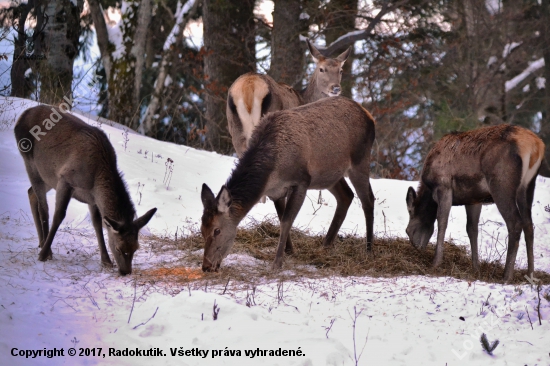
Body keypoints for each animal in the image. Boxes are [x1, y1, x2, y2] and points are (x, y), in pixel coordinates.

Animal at [12, 105, 158, 274]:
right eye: (119, 248)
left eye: (136, 248)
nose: (126, 271)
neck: (96, 178)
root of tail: (22, 116)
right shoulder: (65, 179)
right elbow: (59, 216)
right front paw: (43, 255)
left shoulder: (92, 198)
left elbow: (97, 224)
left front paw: (106, 261)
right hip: (31, 163)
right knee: (44, 207)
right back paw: (46, 249)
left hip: (48, 176)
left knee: (31, 193)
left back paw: (41, 242)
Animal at [201, 97, 378, 272]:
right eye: (202, 229)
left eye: (217, 230)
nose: (206, 266)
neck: (272, 172)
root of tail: (369, 116)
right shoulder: (276, 192)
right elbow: (281, 219)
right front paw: (290, 251)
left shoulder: (301, 181)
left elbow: (287, 221)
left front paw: (277, 263)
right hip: (329, 175)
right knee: (346, 195)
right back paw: (326, 245)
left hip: (360, 160)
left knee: (368, 200)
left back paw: (369, 249)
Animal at [408, 124, 544, 282]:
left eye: (408, 231)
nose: (418, 250)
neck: (429, 189)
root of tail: (535, 146)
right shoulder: (474, 199)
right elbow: (472, 229)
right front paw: (476, 268)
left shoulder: (443, 187)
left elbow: (442, 222)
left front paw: (436, 262)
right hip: (528, 186)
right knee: (529, 225)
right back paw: (530, 275)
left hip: (501, 184)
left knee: (515, 223)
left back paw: (506, 276)